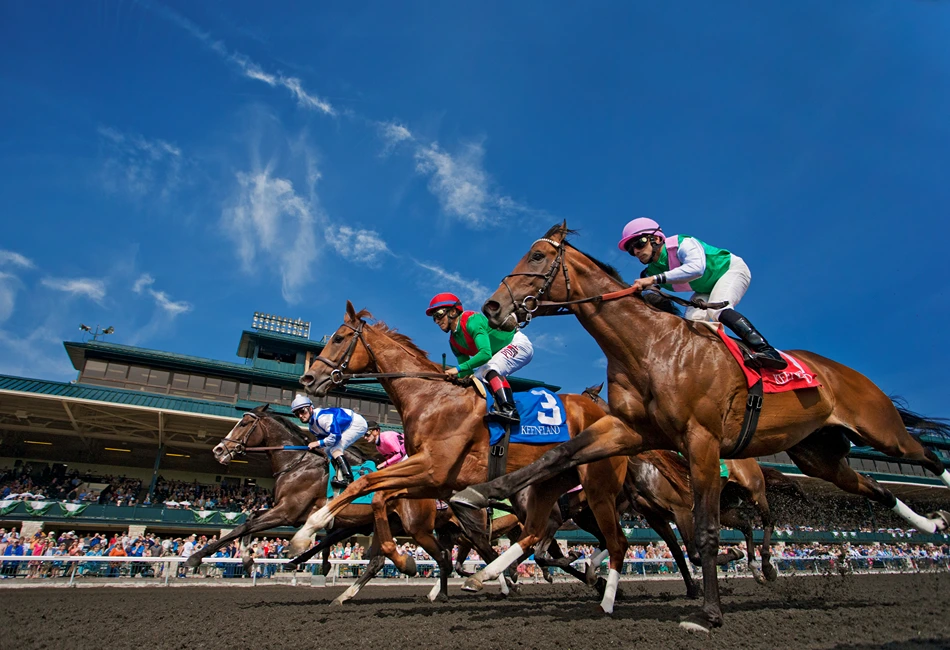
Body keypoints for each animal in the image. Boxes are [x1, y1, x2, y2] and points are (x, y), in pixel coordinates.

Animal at [188, 404, 462, 604]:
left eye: (244, 423)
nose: (218, 450)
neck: (298, 462)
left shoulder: (288, 513)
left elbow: (244, 526)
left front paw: (196, 557)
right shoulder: (289, 512)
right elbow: (251, 518)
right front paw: (247, 559)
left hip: (416, 527)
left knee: (443, 555)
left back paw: (440, 592)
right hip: (388, 524)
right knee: (380, 561)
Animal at [288, 302, 632, 612]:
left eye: (339, 338)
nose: (308, 380)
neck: (430, 398)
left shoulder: (431, 468)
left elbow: (365, 484)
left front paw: (307, 530)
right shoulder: (434, 480)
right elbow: (379, 496)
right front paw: (402, 560)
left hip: (595, 487)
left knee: (612, 540)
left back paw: (598, 588)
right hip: (547, 484)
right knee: (541, 534)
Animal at [450, 221, 948, 628]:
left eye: (536, 256)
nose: (492, 308)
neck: (651, 347)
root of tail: (843, 372)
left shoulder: (701, 441)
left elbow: (704, 532)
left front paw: (708, 613)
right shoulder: (629, 431)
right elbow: (559, 454)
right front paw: (477, 495)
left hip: (879, 431)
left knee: (923, 454)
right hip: (817, 455)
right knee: (876, 488)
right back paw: (928, 524)